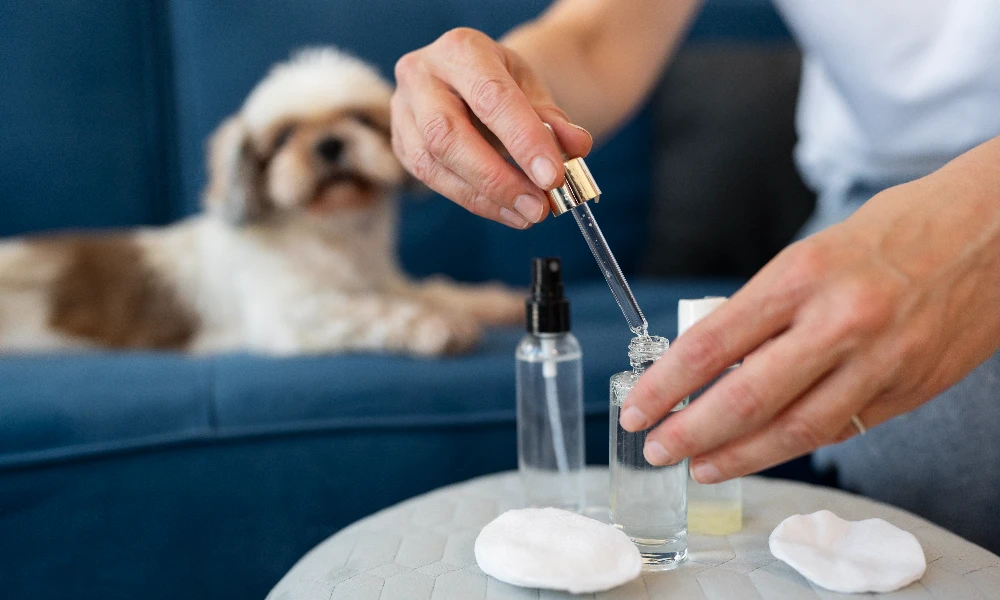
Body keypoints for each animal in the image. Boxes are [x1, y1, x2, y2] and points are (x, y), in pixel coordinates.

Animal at [0, 49, 528, 356]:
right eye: (284, 136)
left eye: (360, 119)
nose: (329, 144)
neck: (331, 236)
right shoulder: (288, 312)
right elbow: (365, 310)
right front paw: (433, 326)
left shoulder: (383, 280)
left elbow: (430, 290)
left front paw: (487, 301)